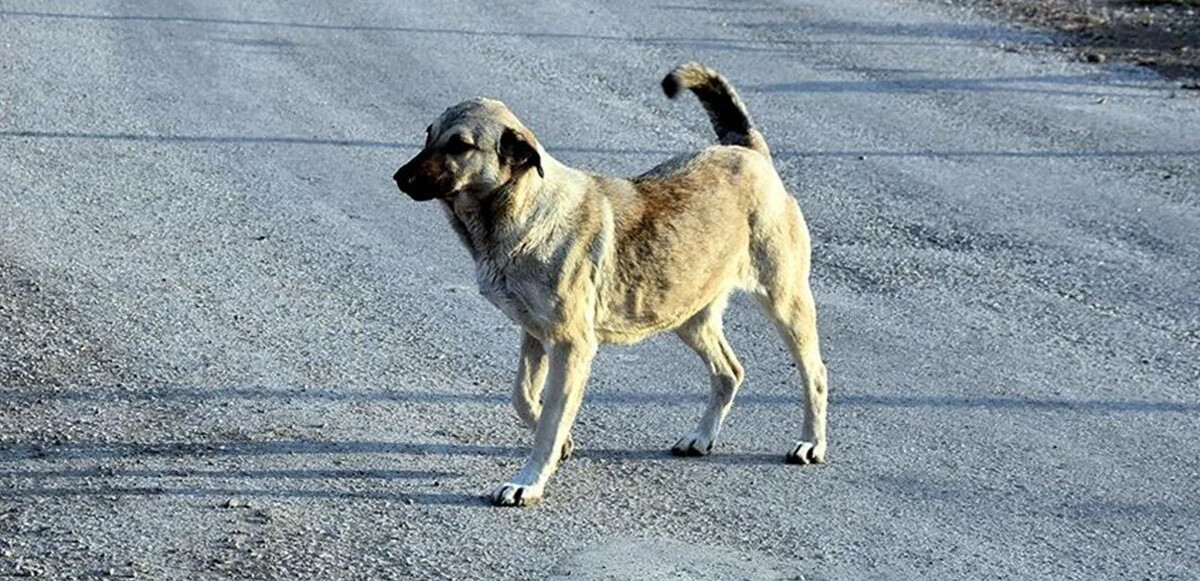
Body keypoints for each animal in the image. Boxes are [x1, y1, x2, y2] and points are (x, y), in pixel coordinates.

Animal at [393, 63, 825, 506]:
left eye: (459, 145)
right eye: (428, 135)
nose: (399, 178)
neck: (525, 210)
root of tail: (748, 152)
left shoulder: (572, 346)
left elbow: (549, 423)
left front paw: (529, 481)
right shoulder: (535, 336)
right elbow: (524, 397)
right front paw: (561, 444)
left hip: (784, 302)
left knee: (815, 374)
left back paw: (811, 443)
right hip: (687, 314)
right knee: (729, 372)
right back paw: (702, 437)